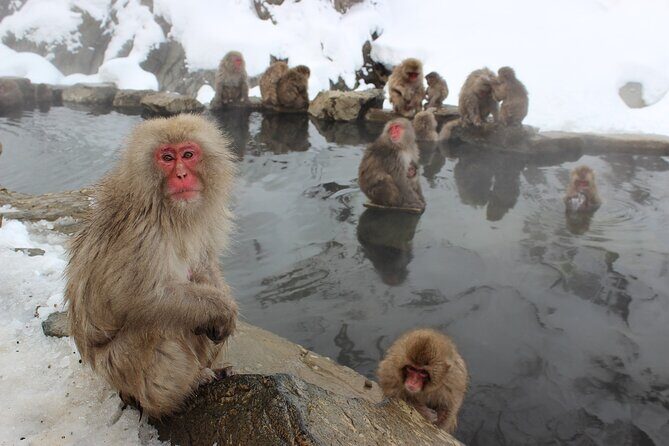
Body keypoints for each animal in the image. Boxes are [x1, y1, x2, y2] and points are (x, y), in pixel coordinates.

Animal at [64, 114, 238, 419]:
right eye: (167, 158)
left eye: (188, 155)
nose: (181, 175)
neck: (169, 210)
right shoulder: (142, 234)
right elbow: (139, 298)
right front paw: (222, 309)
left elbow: (204, 266)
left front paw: (222, 307)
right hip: (120, 367)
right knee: (157, 325)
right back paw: (184, 388)